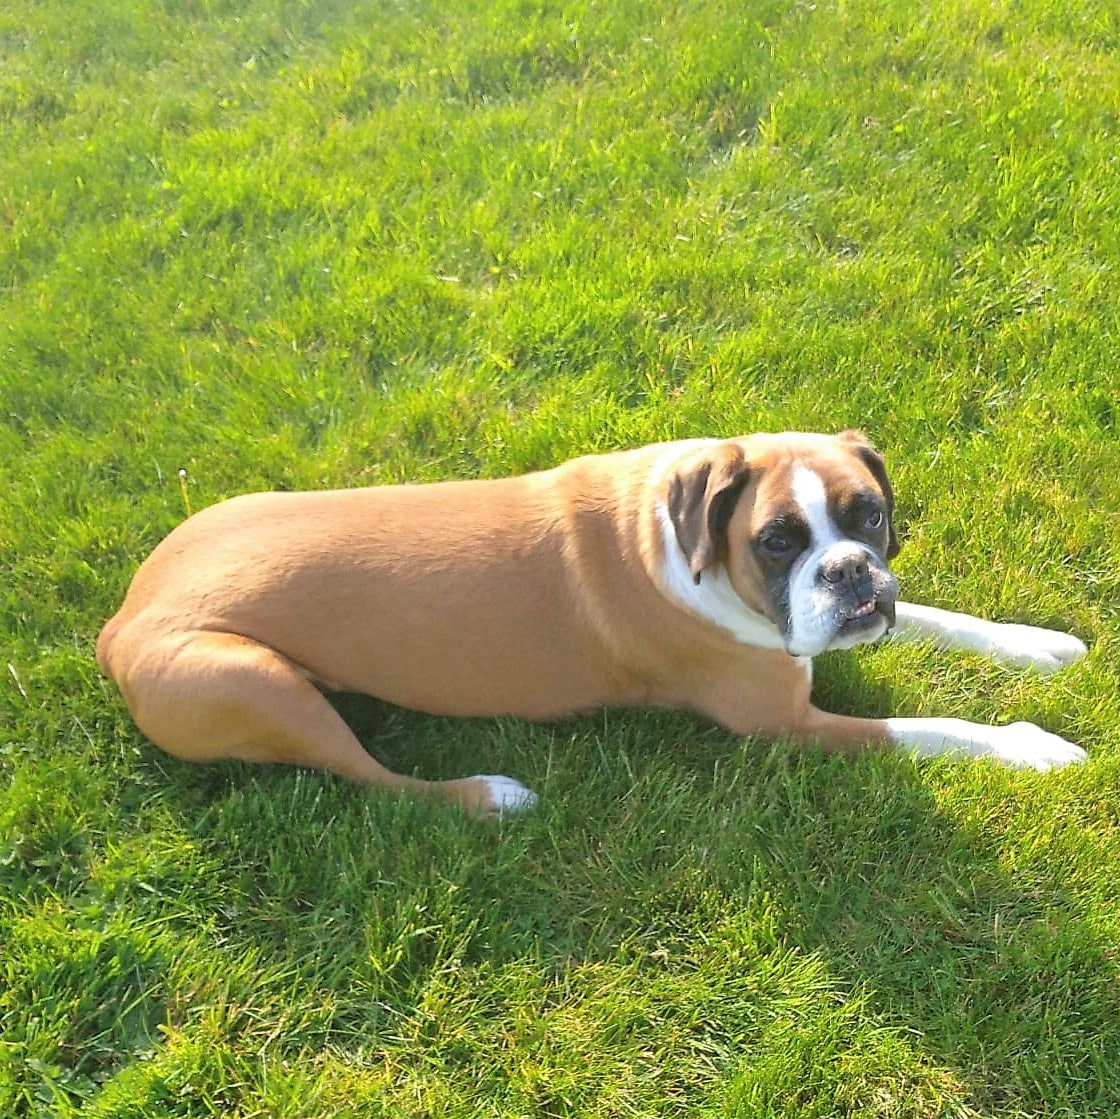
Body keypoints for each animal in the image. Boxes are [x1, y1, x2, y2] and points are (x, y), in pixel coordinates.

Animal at [96, 432, 1084, 819]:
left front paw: (1037, 644)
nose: (847, 574)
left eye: (868, 514)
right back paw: (490, 794)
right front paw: (1030, 745)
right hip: (251, 681)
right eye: (776, 540)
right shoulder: (785, 724)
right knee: (374, 778)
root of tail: (120, 619)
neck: (683, 538)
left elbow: (938, 615)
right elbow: (931, 726)